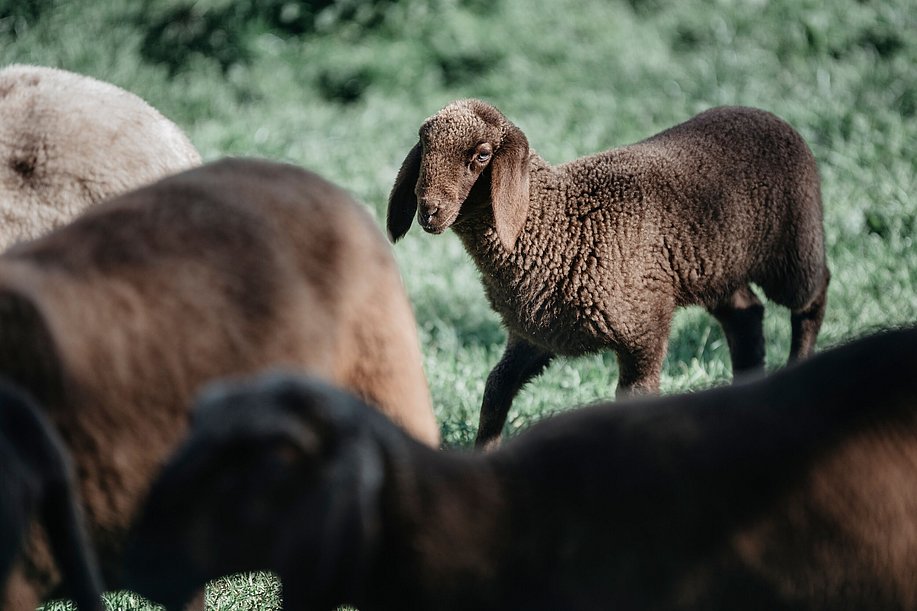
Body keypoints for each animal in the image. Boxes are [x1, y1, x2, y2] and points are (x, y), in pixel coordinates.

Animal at [386, 100, 832, 450]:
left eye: (481, 155)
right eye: (424, 149)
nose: (428, 211)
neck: (555, 223)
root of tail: (768, 115)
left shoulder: (643, 330)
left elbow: (634, 399)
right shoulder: (535, 336)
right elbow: (496, 390)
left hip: (792, 246)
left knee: (813, 296)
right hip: (714, 268)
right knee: (746, 313)